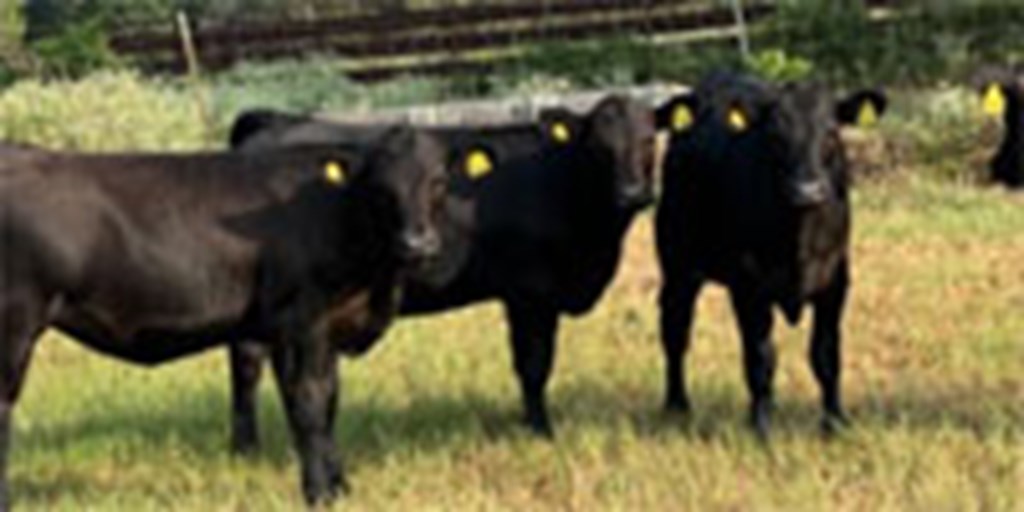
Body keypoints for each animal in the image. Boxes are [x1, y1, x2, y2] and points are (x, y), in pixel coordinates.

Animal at [0, 127, 454, 508]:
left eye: (438, 182)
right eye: (380, 187)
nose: (418, 244)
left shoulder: (326, 329)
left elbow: (329, 402)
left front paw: (341, 487)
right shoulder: (300, 321)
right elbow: (308, 403)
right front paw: (319, 493)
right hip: (15, 324)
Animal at [224, 95, 657, 446]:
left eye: (651, 140)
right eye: (600, 147)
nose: (633, 193)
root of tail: (273, 122)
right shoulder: (529, 294)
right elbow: (533, 366)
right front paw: (540, 432)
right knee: (247, 364)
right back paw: (247, 447)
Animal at [654, 73, 886, 439]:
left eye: (831, 132)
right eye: (775, 136)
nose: (807, 190)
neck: (799, 240)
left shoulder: (836, 281)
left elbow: (827, 354)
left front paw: (835, 422)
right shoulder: (748, 287)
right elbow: (760, 358)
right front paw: (761, 426)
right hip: (677, 265)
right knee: (675, 330)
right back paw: (676, 404)